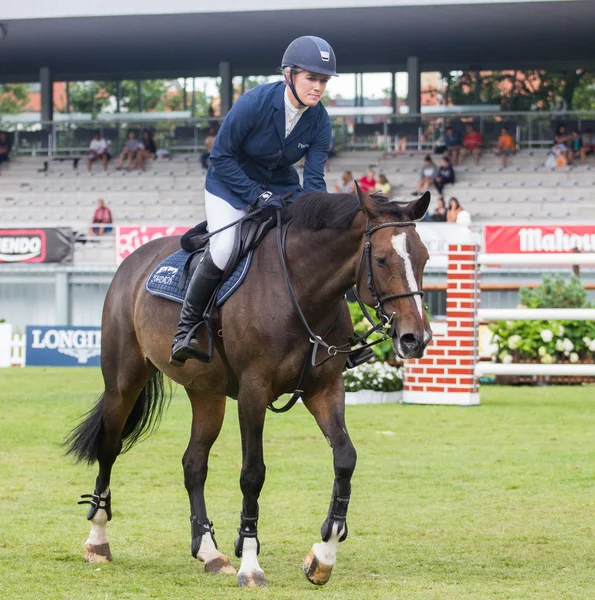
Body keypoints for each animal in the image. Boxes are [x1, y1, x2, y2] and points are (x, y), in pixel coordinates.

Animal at [66, 186, 434, 584]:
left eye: (424, 257)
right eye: (381, 259)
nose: (416, 339)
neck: (300, 290)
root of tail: (133, 262)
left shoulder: (325, 389)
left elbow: (345, 458)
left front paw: (323, 554)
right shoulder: (253, 392)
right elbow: (253, 474)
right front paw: (251, 562)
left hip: (206, 393)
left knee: (193, 463)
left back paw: (209, 552)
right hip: (124, 380)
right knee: (109, 448)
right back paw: (98, 541)